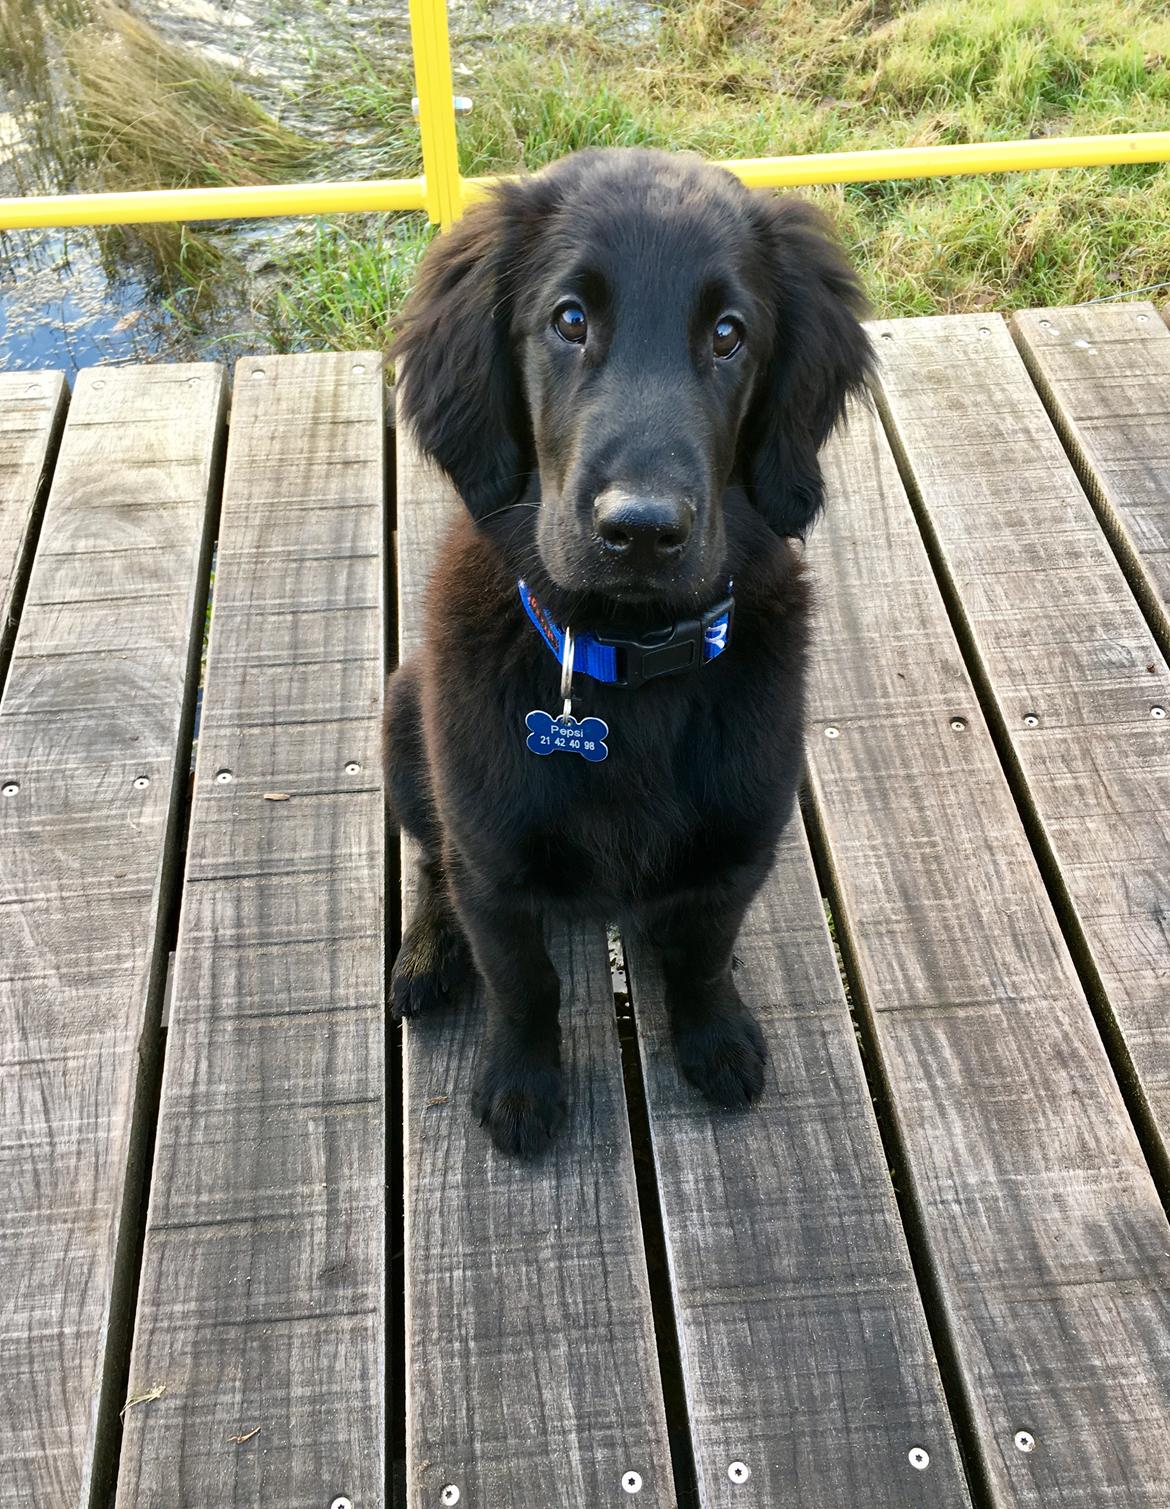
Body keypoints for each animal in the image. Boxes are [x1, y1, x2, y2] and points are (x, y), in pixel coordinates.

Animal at [384, 147, 869, 1152]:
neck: (628, 662)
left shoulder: (738, 846)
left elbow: (706, 952)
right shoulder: (492, 856)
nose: (641, 531)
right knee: (429, 862)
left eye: (729, 334)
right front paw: (522, 1083)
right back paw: (428, 951)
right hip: (405, 727)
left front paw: (715, 1035)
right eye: (569, 320)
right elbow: (522, 979)